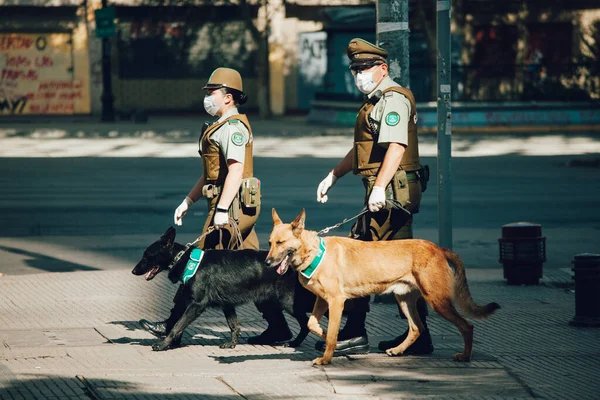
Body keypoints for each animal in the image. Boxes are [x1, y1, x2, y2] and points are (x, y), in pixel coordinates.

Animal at [132, 227, 314, 352]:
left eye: (147, 256)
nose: (133, 271)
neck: (186, 260)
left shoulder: (196, 305)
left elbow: (177, 325)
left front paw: (164, 344)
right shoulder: (226, 305)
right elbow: (234, 326)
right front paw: (232, 344)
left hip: (288, 302)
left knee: (306, 324)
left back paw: (296, 343)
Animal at [268, 209, 502, 366]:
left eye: (281, 243)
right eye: (270, 242)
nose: (268, 262)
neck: (314, 253)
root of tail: (439, 248)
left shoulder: (336, 302)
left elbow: (332, 333)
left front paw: (326, 357)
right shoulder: (323, 301)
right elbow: (313, 325)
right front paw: (325, 337)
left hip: (438, 301)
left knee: (466, 326)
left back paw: (466, 356)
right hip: (405, 301)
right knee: (417, 328)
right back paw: (398, 350)